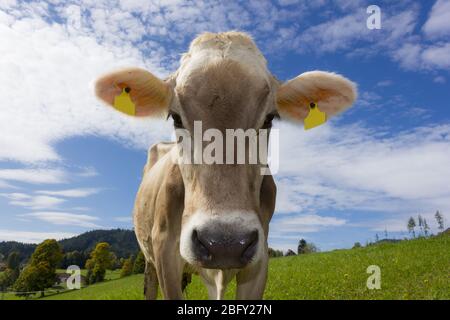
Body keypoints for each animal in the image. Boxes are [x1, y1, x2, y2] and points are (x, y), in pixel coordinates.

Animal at [94, 31, 356, 298]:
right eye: (175, 117)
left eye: (269, 119)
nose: (224, 244)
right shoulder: (164, 252)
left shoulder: (259, 260)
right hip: (149, 259)